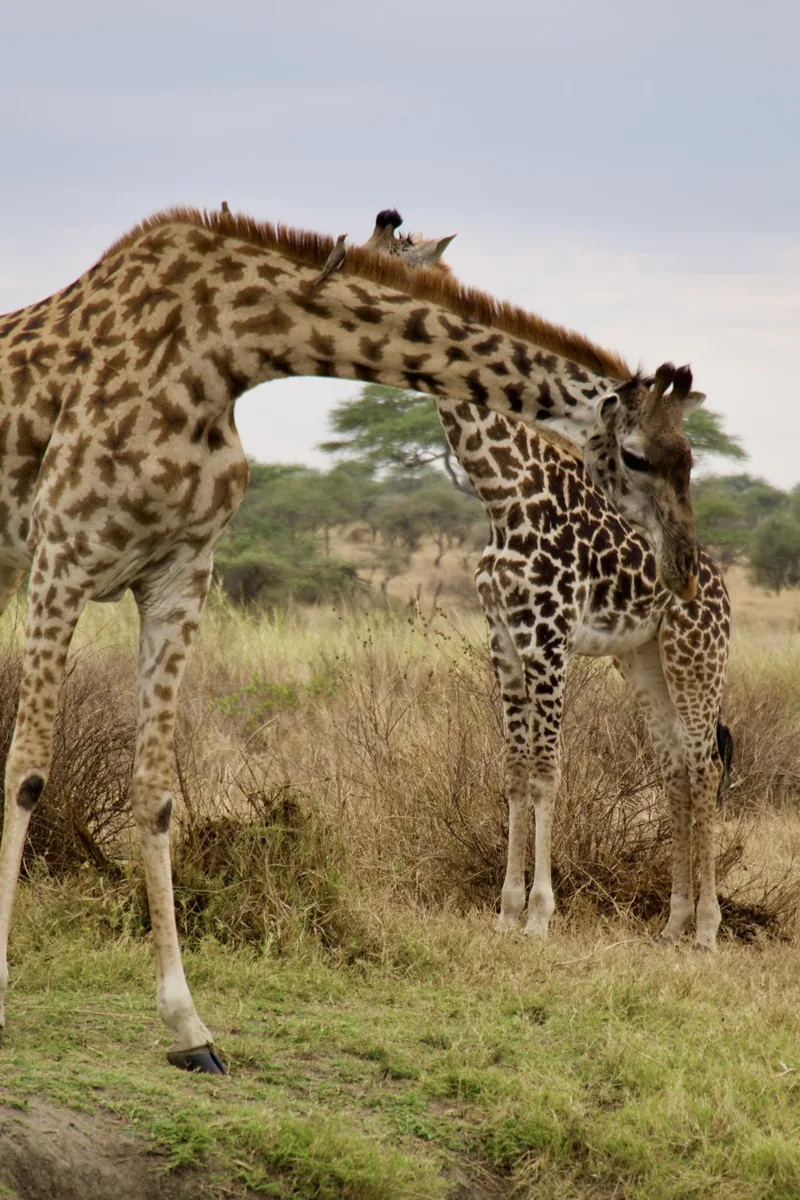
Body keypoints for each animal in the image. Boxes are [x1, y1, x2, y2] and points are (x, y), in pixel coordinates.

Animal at [0, 206, 704, 1073]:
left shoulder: (178, 577)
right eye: (638, 456)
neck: (222, 353)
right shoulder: (60, 557)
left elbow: (155, 791)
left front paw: (189, 1027)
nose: (683, 569)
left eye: (689, 456)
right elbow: (28, 771)